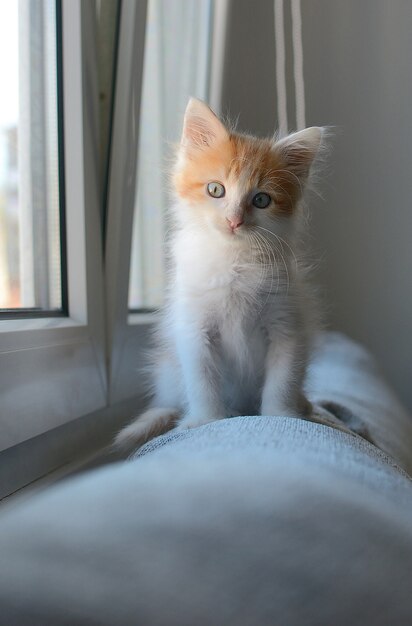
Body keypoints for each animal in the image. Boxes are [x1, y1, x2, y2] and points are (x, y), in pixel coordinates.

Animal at [114, 96, 324, 448]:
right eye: (216, 190)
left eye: (262, 199)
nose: (234, 220)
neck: (234, 260)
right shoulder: (194, 328)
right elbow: (202, 380)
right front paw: (205, 420)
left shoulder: (287, 325)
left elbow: (282, 380)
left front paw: (281, 415)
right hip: (169, 369)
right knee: (171, 400)